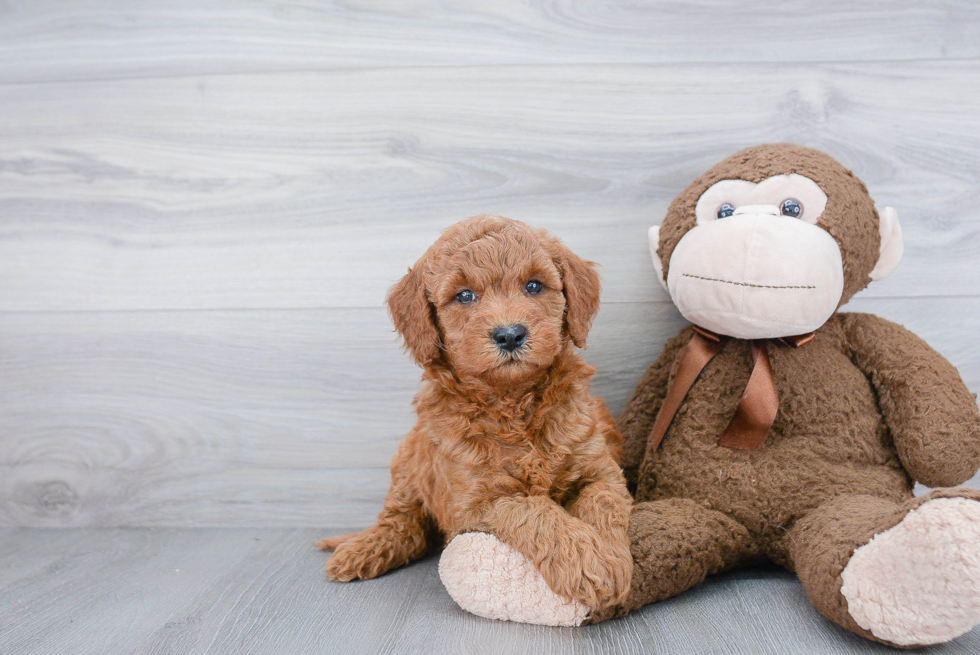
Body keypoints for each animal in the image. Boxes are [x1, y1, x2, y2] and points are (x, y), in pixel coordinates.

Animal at [318, 214, 632, 620]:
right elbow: (535, 510)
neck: (512, 402)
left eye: (534, 286)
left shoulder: (599, 467)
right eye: (464, 295)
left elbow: (603, 502)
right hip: (409, 459)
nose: (510, 335)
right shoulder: (477, 504)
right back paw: (361, 549)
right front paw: (587, 561)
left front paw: (608, 556)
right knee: (402, 524)